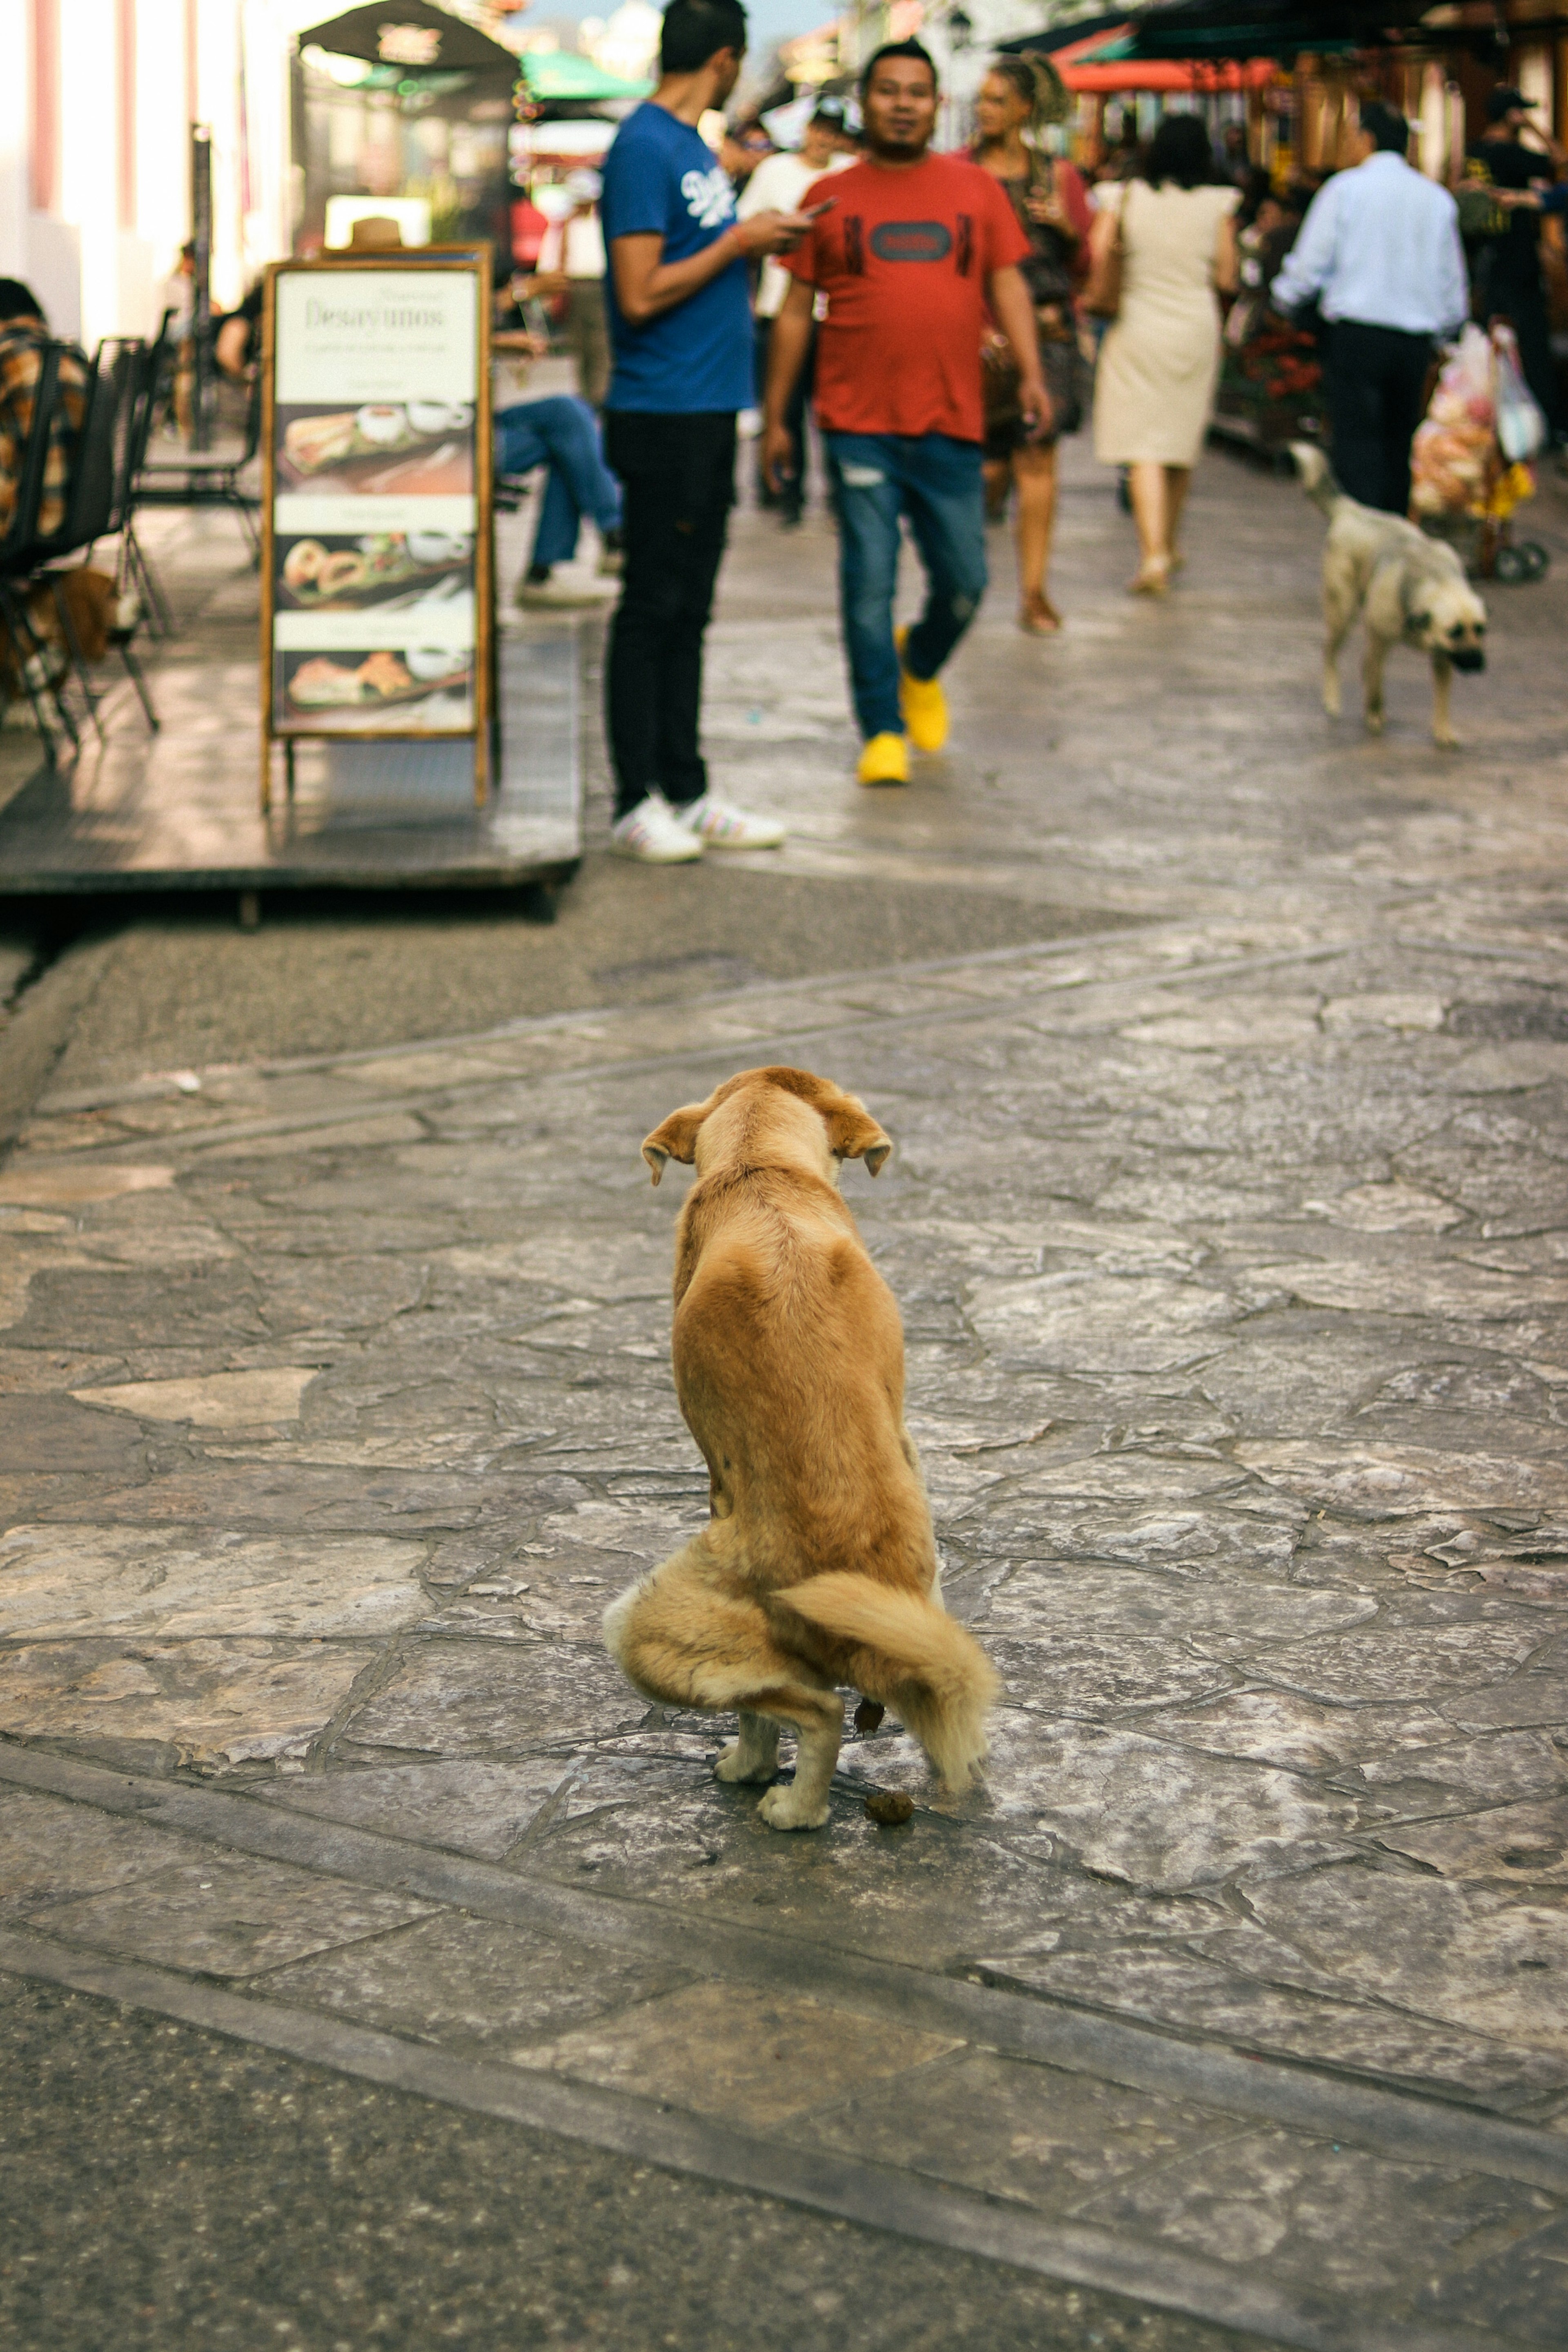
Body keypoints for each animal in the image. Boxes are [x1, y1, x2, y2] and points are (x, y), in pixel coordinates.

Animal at [606, 1068, 1001, 1834]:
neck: (761, 1167)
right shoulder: (910, 1444)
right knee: (938, 1700)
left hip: (636, 1627)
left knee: (814, 1712)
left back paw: (784, 1797)